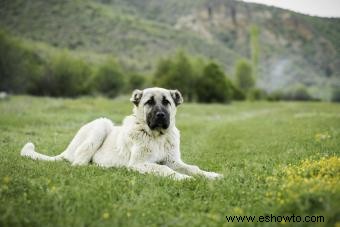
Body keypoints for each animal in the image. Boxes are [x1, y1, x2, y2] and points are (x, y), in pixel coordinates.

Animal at [20, 88, 223, 180]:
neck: (157, 136)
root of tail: (66, 150)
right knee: (79, 164)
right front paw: (184, 179)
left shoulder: (172, 160)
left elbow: (193, 168)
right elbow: (166, 170)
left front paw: (211, 175)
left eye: (166, 102)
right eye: (149, 102)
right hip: (102, 124)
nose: (160, 115)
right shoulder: (139, 163)